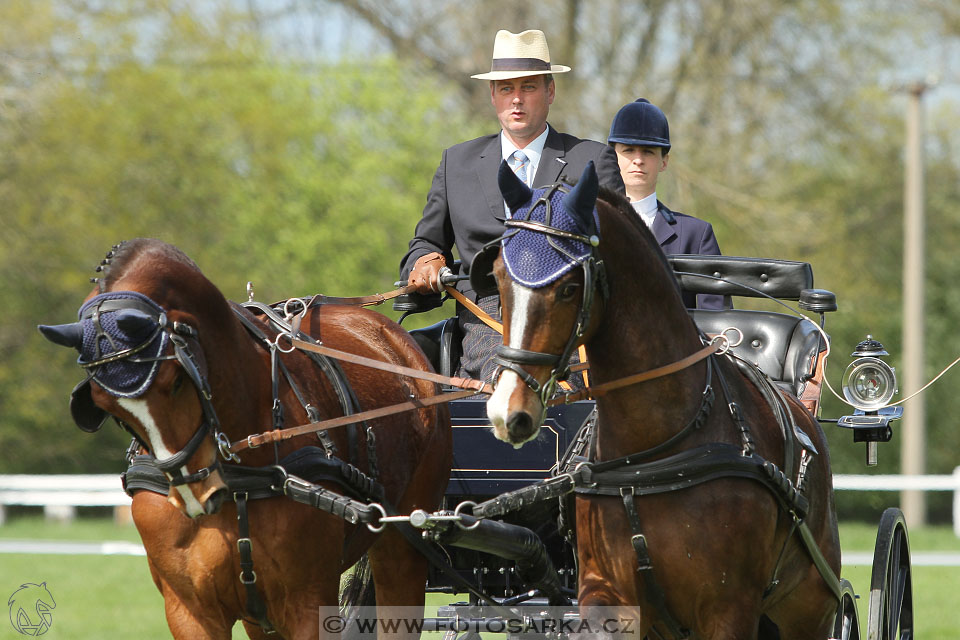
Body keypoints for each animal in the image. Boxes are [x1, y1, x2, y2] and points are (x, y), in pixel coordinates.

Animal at [39, 238, 452, 636]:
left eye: (176, 382)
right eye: (108, 406)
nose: (195, 492)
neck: (241, 476)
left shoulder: (308, 603)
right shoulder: (191, 612)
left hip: (403, 550)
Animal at [472, 165, 840, 640]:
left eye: (570, 288)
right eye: (499, 277)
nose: (508, 411)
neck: (651, 453)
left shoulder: (729, 609)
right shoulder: (607, 599)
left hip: (810, 608)